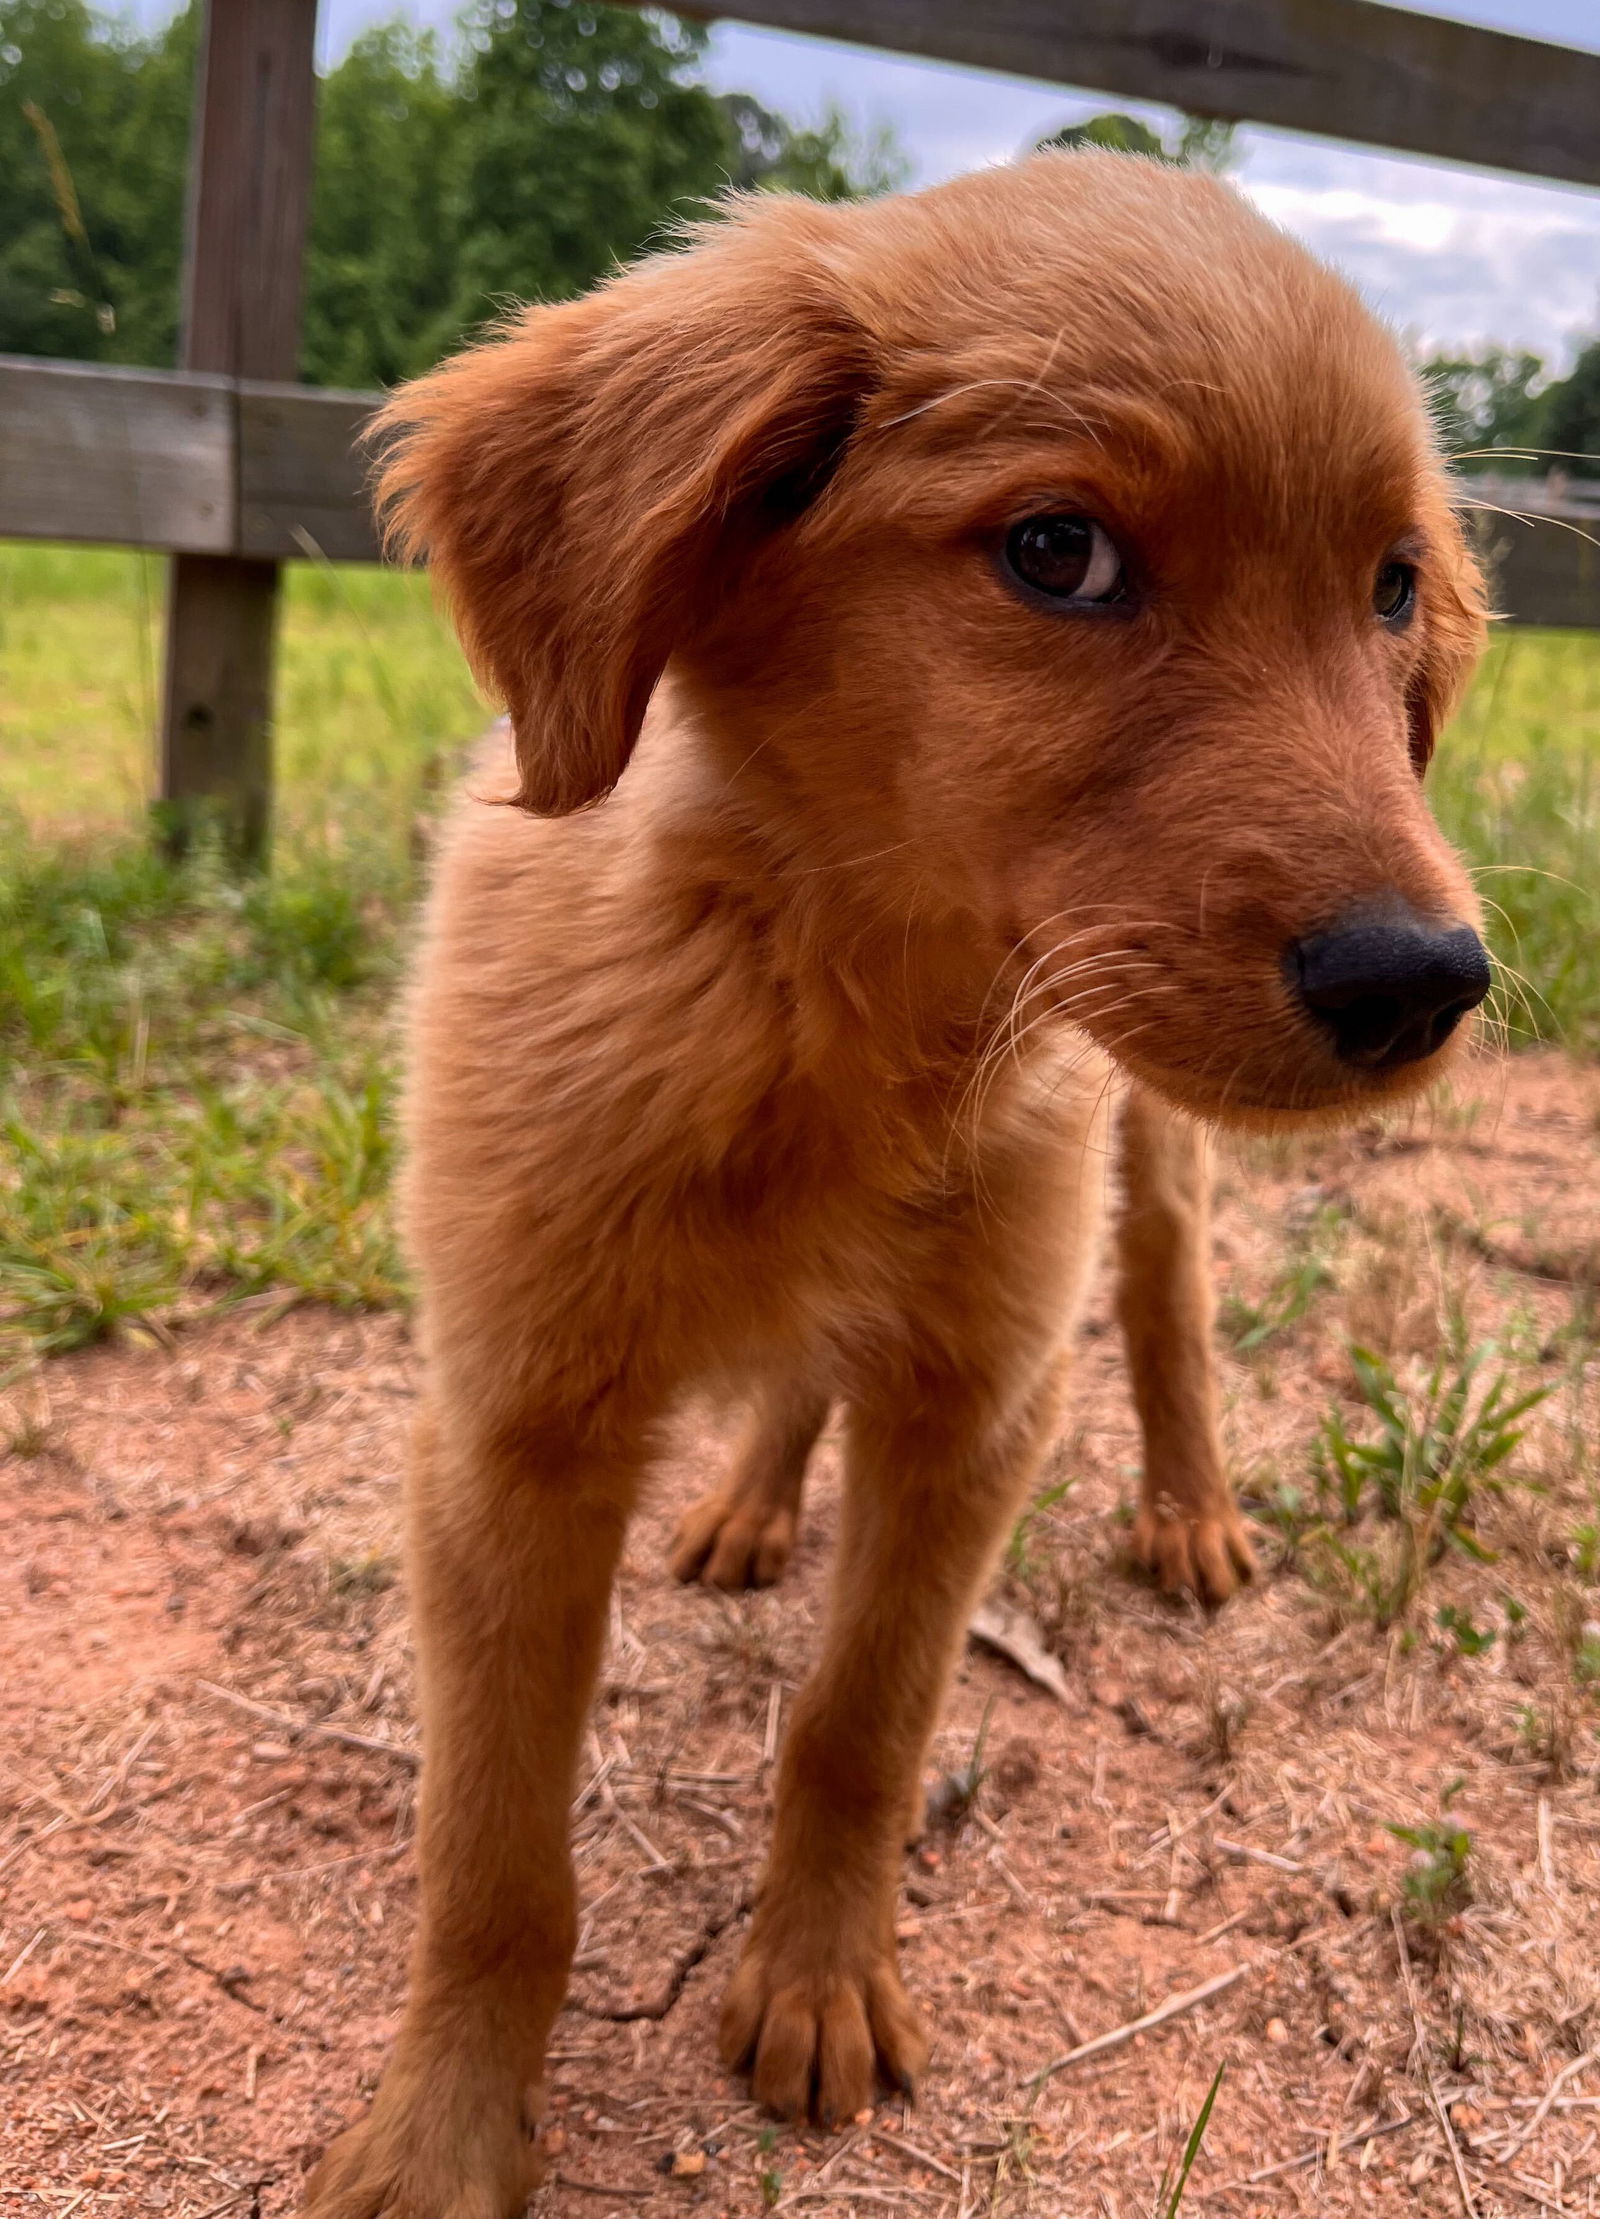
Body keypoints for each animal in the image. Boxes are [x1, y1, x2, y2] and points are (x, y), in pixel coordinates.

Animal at [308, 147, 1482, 2210]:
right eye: (1059, 553)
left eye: (1392, 584)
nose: (1426, 978)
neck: (830, 995)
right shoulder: (508, 1427)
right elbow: (495, 1851)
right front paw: (443, 2128)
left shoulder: (976, 1396)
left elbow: (860, 1718)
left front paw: (815, 1984)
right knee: (801, 1375)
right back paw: (751, 1501)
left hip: (1148, 1156)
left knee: (1166, 1298)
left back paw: (1190, 1509)